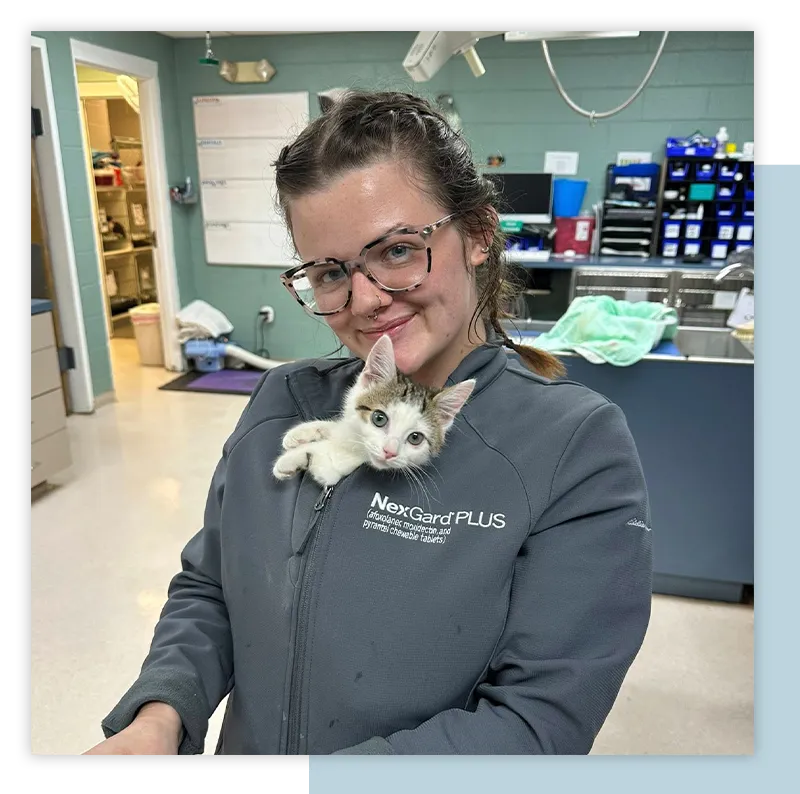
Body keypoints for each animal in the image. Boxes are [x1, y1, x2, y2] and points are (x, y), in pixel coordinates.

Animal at [272, 334, 476, 488]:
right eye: (379, 418)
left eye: (415, 438)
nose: (389, 452)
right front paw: (301, 434)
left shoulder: (336, 468)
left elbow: (326, 454)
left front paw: (290, 460)